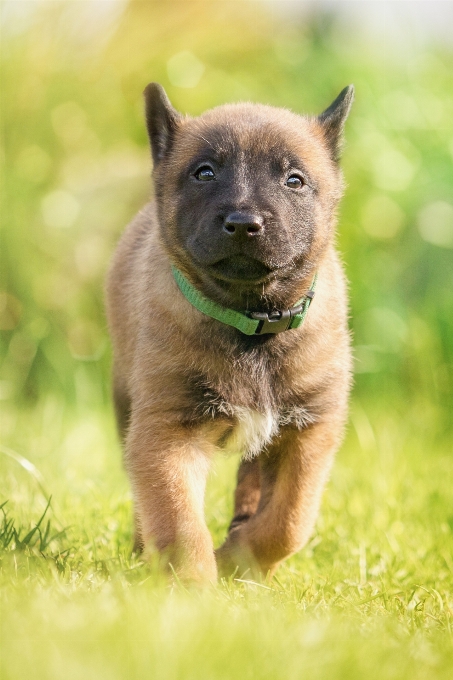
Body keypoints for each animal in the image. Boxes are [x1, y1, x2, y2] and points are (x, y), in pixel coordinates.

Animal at [105, 83, 354, 584]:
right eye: (204, 173)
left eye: (294, 180)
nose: (243, 224)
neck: (251, 325)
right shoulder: (167, 429)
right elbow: (177, 520)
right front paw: (193, 587)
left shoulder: (309, 431)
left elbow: (289, 521)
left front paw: (239, 560)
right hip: (126, 404)